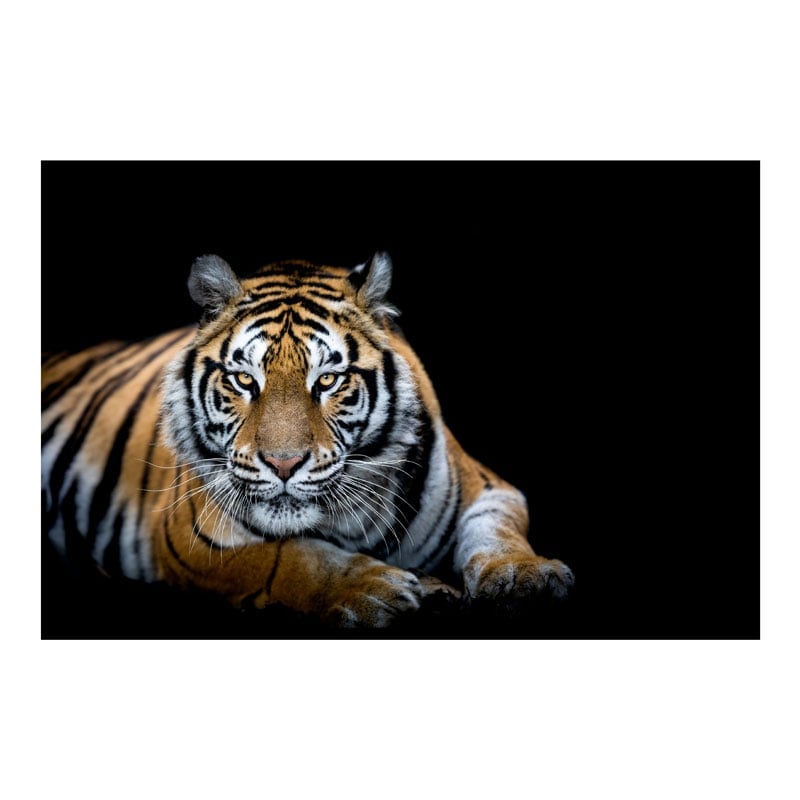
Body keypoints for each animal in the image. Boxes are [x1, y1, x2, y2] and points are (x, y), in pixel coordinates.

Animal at [41, 252, 574, 628]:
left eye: (327, 381)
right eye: (244, 380)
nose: (283, 463)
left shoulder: (489, 487)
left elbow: (498, 532)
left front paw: (526, 577)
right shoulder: (191, 534)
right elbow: (290, 556)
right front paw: (374, 588)